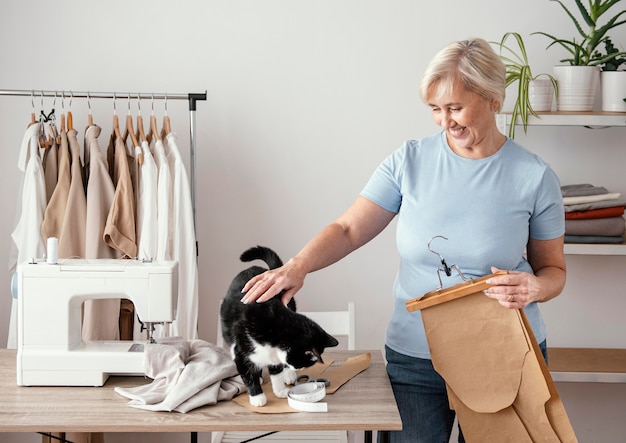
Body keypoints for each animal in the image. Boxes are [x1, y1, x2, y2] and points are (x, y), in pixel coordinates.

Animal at [218, 245, 336, 408]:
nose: (298, 368)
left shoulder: (275, 355)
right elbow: (248, 374)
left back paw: (288, 375)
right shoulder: (240, 351)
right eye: (304, 362)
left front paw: (280, 390)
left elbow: (276, 371)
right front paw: (257, 397)